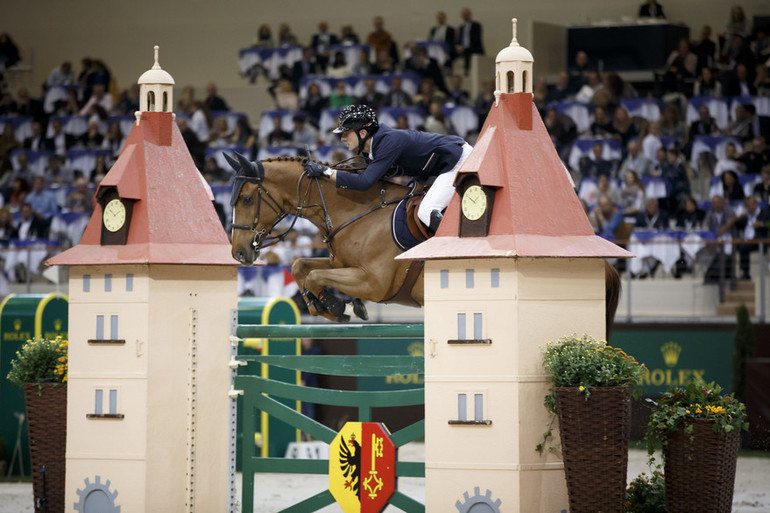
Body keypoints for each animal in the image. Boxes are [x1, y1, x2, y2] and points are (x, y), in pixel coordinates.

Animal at [225, 154, 620, 332]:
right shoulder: (342, 264)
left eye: (245, 199)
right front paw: (328, 305)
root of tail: (607, 267)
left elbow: (317, 275)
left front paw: (335, 305)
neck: (356, 210)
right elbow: (301, 267)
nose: (239, 252)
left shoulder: (374, 281)